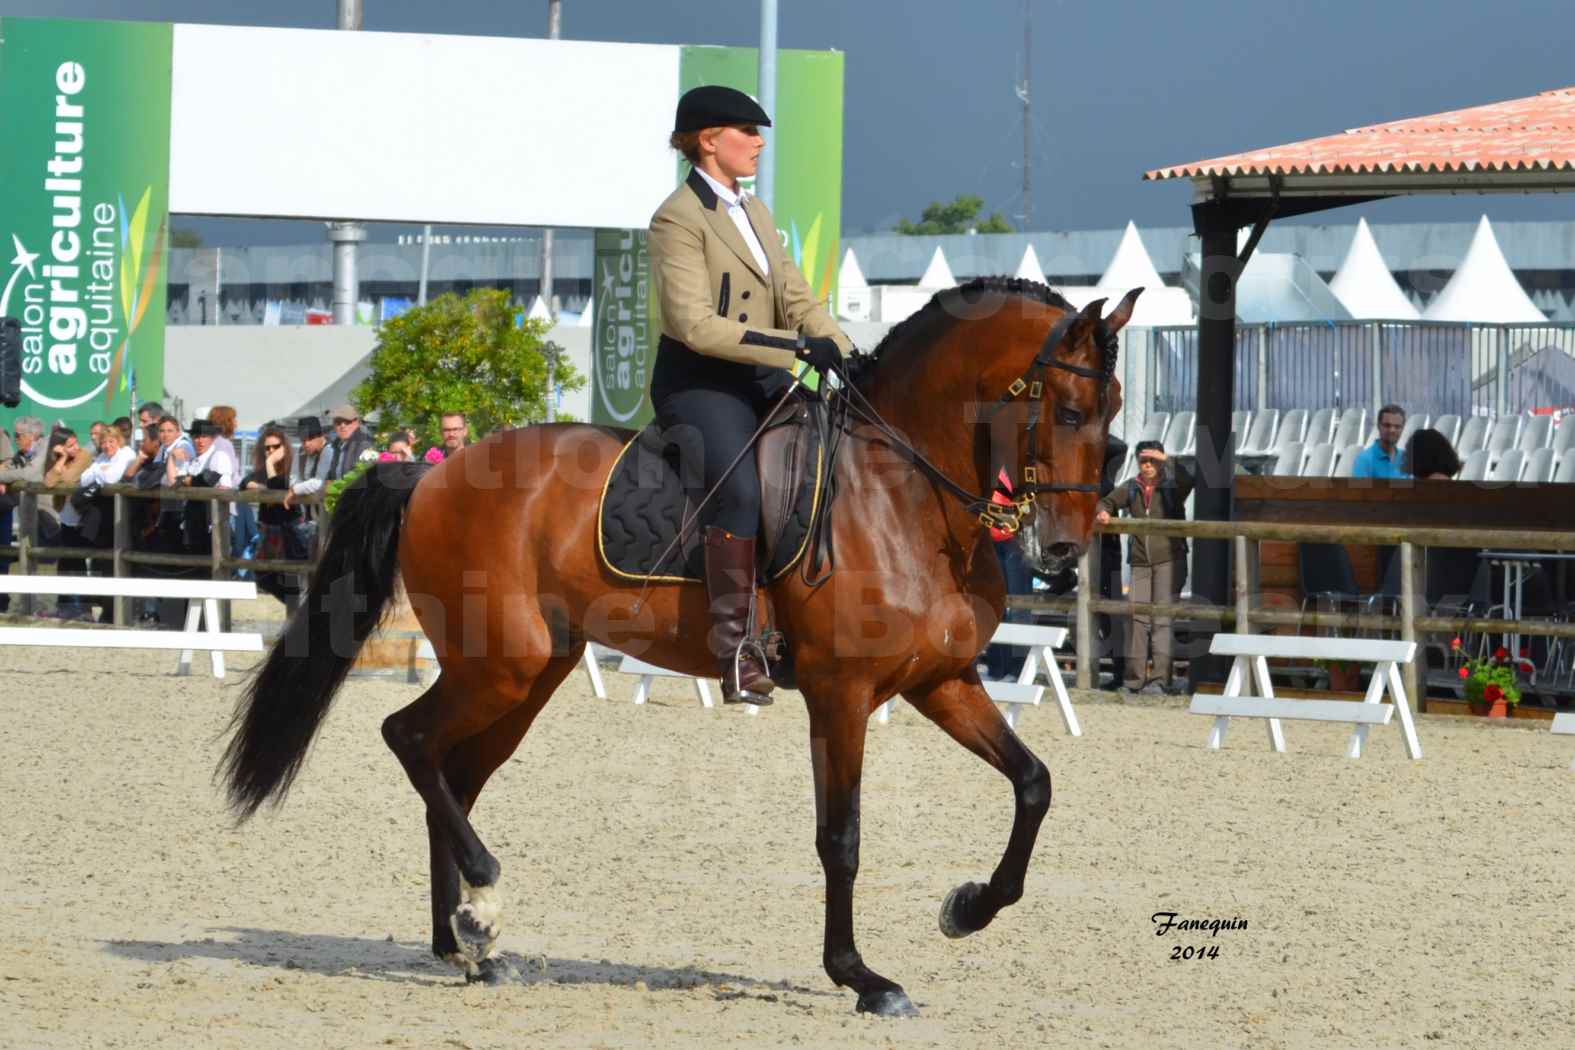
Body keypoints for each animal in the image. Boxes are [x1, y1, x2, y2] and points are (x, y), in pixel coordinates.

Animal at [218, 278, 1134, 1020]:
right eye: (1069, 411)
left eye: (1117, 419)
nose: (1061, 549)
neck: (901, 492)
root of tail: (432, 471)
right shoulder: (840, 695)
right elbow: (840, 837)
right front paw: (861, 977)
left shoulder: (940, 681)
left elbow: (1032, 784)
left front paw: (967, 907)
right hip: (499, 666)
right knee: (409, 739)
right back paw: (482, 905)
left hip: (530, 673)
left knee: (454, 771)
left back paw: (467, 942)